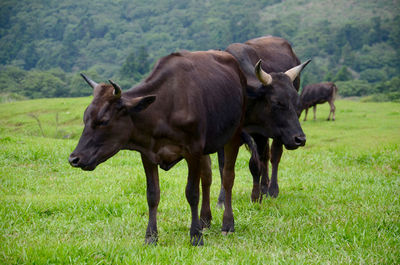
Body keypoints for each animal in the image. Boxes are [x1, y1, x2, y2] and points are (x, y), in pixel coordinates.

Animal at [70, 50, 248, 245]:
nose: (74, 158)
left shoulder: (192, 150)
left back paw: (227, 224)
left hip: (234, 134)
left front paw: (195, 236)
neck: (164, 109)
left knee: (227, 177)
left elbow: (192, 193)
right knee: (207, 178)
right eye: (85, 118)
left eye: (103, 121)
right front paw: (151, 236)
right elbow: (152, 195)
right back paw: (205, 220)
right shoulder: (147, 154)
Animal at [219, 35, 310, 204]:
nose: (300, 139)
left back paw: (271, 189)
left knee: (273, 156)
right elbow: (224, 166)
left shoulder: (260, 134)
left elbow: (256, 164)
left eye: (297, 103)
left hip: (280, 135)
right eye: (277, 102)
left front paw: (257, 195)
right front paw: (222, 199)